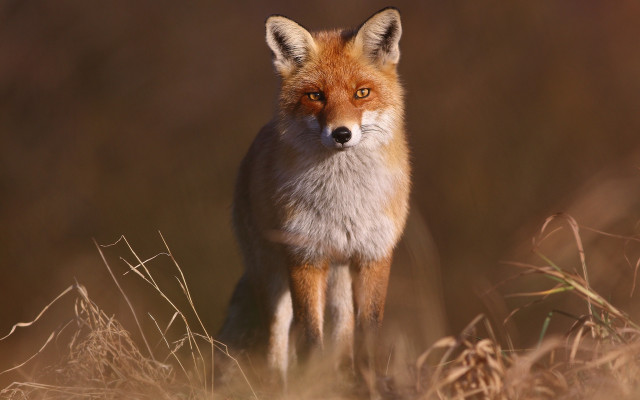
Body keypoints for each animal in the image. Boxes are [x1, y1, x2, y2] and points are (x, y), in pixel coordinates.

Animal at [217, 7, 410, 387]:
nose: (341, 133)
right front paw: (311, 386)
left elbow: (368, 333)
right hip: (273, 277)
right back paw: (280, 387)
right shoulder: (305, 257)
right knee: (278, 343)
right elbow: (309, 340)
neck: (345, 202)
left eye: (361, 93)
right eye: (316, 96)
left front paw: (370, 382)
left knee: (342, 334)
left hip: (339, 279)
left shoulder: (374, 255)